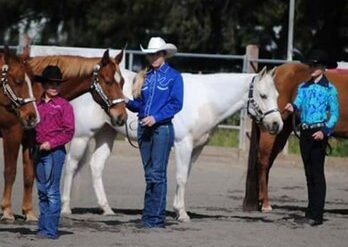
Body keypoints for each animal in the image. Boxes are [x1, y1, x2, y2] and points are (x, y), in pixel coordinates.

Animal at [0, 49, 126, 221]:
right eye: (108, 81)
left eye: (123, 82)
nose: (122, 117)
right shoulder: (11, 134)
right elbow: (10, 171)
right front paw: (7, 211)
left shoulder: (30, 139)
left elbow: (29, 175)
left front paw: (29, 213)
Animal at [60, 66, 282, 221]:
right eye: (263, 95)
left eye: (277, 95)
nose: (276, 124)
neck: (206, 99)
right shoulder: (184, 144)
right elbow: (181, 177)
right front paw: (182, 214)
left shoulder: (196, 148)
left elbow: (185, 177)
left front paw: (177, 209)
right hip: (82, 136)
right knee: (70, 165)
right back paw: (65, 208)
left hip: (107, 134)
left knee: (96, 166)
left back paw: (107, 209)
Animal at [242, 62, 348, 211]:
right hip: (269, 131)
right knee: (263, 162)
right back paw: (266, 205)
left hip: (280, 132)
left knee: (268, 163)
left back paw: (260, 202)